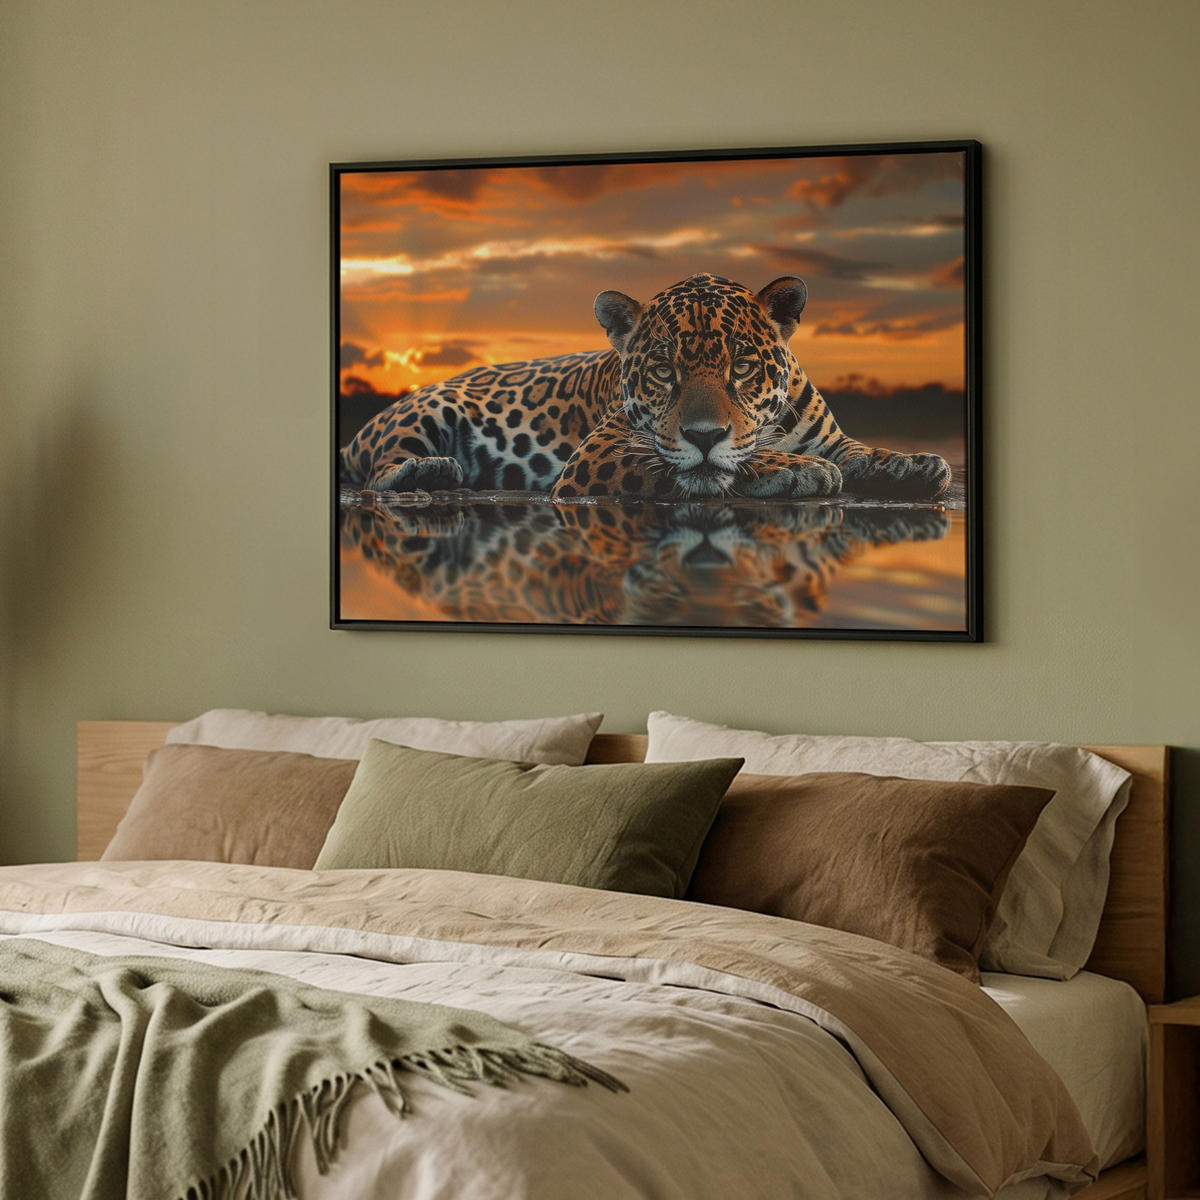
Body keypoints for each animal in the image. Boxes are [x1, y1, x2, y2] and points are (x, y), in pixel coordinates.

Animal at [340, 273, 952, 503]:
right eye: (663, 371)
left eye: (742, 367)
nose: (703, 433)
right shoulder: (600, 453)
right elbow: (712, 462)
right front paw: (795, 469)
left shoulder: (830, 438)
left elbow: (861, 451)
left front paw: (914, 463)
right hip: (428, 410)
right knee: (379, 469)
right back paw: (430, 471)